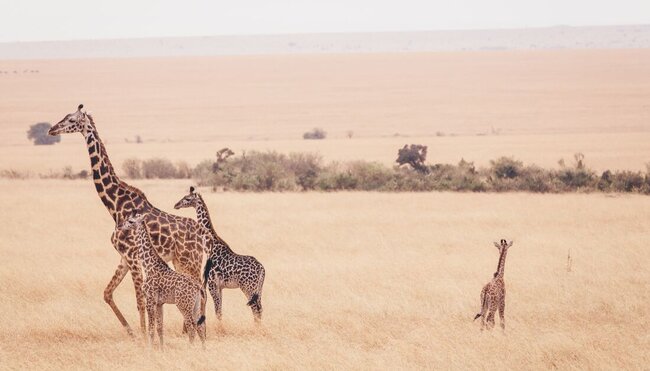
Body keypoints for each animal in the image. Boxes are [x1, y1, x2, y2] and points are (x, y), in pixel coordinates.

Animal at [118, 214, 205, 350]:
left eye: (131, 221)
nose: (121, 226)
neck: (148, 265)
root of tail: (197, 286)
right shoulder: (160, 303)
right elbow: (160, 328)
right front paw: (162, 349)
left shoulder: (150, 299)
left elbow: (151, 329)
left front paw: (149, 349)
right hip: (195, 305)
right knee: (199, 327)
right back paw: (203, 349)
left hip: (183, 305)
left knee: (191, 327)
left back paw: (190, 348)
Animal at [173, 187, 264, 322]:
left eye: (187, 199)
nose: (176, 205)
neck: (211, 247)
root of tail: (262, 269)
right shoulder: (219, 287)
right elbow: (220, 311)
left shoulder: (212, 285)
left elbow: (218, 312)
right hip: (258, 289)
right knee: (260, 309)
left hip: (249, 288)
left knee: (256, 311)